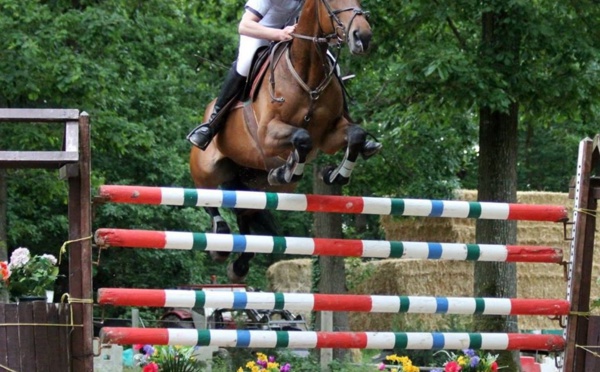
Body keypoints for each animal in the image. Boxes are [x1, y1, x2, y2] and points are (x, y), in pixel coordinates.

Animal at [190, 0, 378, 282]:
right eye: (330, 3)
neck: (307, 72)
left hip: (252, 183)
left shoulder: (329, 135)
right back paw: (221, 237)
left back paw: (239, 263)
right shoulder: (268, 134)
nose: (362, 37)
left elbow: (355, 135)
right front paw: (288, 170)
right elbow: (302, 137)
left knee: (246, 212)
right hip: (206, 166)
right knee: (207, 195)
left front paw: (335, 174)